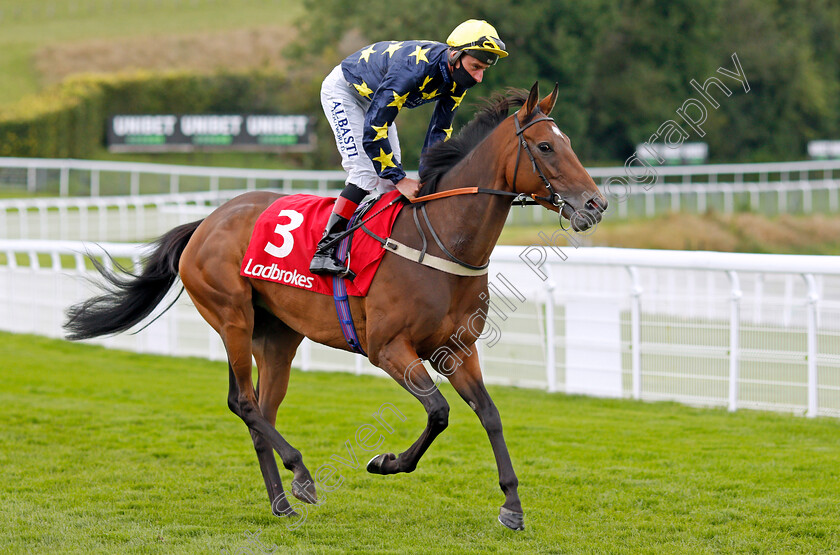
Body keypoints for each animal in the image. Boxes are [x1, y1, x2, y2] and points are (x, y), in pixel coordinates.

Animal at [64, 81, 604, 528]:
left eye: (569, 144)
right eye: (545, 146)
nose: (595, 204)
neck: (439, 239)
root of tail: (205, 222)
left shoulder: (458, 348)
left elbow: (489, 414)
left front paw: (512, 505)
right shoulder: (389, 349)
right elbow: (439, 411)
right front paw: (385, 462)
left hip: (278, 336)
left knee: (262, 410)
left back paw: (281, 501)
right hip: (231, 317)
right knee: (243, 402)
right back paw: (301, 475)